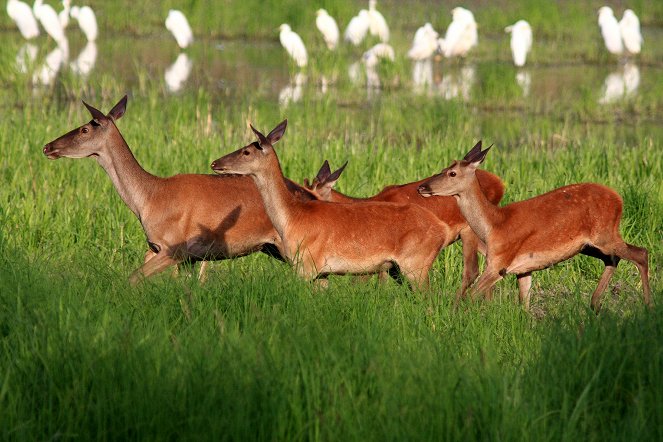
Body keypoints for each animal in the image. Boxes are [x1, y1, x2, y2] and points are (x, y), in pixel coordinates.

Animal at [42, 95, 322, 284]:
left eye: (84, 129)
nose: (48, 147)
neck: (149, 198)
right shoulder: (183, 256)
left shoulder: (174, 248)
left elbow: (132, 279)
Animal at [213, 119, 456, 288]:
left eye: (246, 151)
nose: (215, 162)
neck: (292, 218)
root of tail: (441, 230)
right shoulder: (322, 272)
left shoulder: (307, 265)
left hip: (416, 264)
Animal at [418, 142, 652, 310]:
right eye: (443, 168)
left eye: (452, 173)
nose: (422, 187)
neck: (493, 225)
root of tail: (619, 199)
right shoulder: (524, 269)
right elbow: (525, 308)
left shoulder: (498, 263)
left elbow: (472, 297)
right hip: (588, 245)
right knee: (613, 258)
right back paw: (595, 304)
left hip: (604, 234)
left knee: (640, 253)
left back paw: (648, 306)